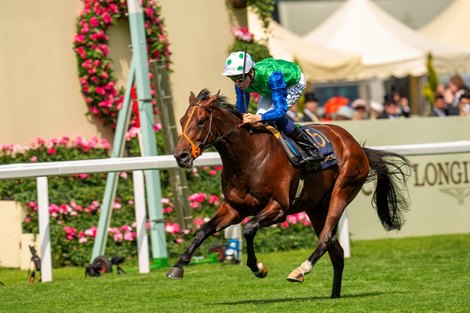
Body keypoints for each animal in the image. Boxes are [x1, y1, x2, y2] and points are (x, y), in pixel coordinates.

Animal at [167, 88, 410, 298]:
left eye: (200, 121)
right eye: (181, 121)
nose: (180, 156)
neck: (248, 156)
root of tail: (356, 145)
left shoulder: (279, 208)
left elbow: (249, 228)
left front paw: (258, 267)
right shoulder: (234, 208)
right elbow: (204, 229)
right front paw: (178, 266)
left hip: (342, 190)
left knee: (327, 237)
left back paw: (300, 271)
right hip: (316, 207)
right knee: (337, 251)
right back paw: (334, 296)